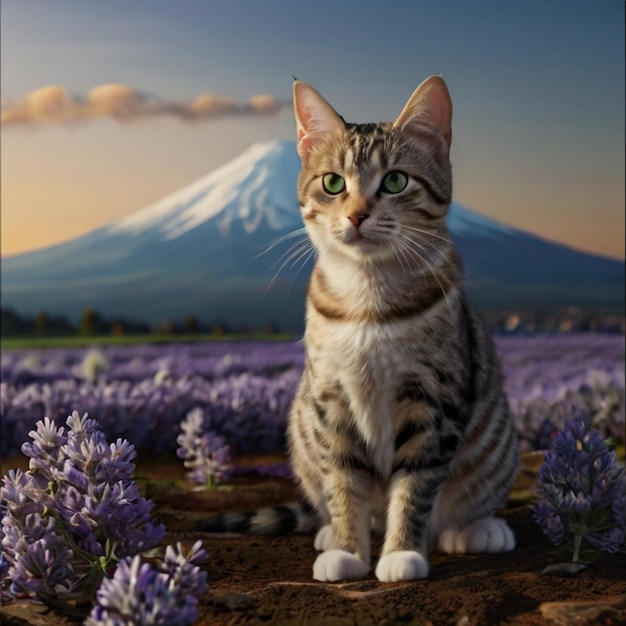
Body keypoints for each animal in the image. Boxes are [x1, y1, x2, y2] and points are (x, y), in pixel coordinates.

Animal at [197, 77, 520, 580]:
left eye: (395, 181)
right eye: (333, 183)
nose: (356, 214)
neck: (367, 297)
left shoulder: (434, 401)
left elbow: (415, 488)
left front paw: (402, 553)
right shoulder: (331, 402)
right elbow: (345, 484)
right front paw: (349, 551)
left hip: (495, 438)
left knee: (460, 505)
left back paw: (479, 530)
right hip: (301, 422)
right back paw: (330, 533)